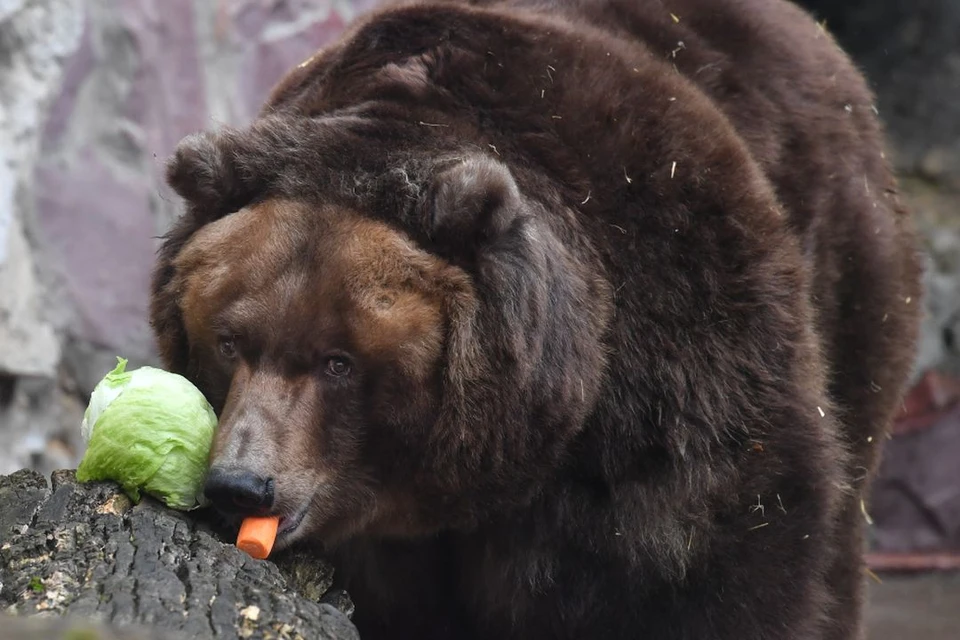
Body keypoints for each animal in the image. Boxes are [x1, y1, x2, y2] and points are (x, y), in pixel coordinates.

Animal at [150, 1, 924, 640]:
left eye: (340, 360)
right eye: (229, 340)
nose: (241, 484)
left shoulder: (676, 358)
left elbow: (719, 564)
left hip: (851, 278)